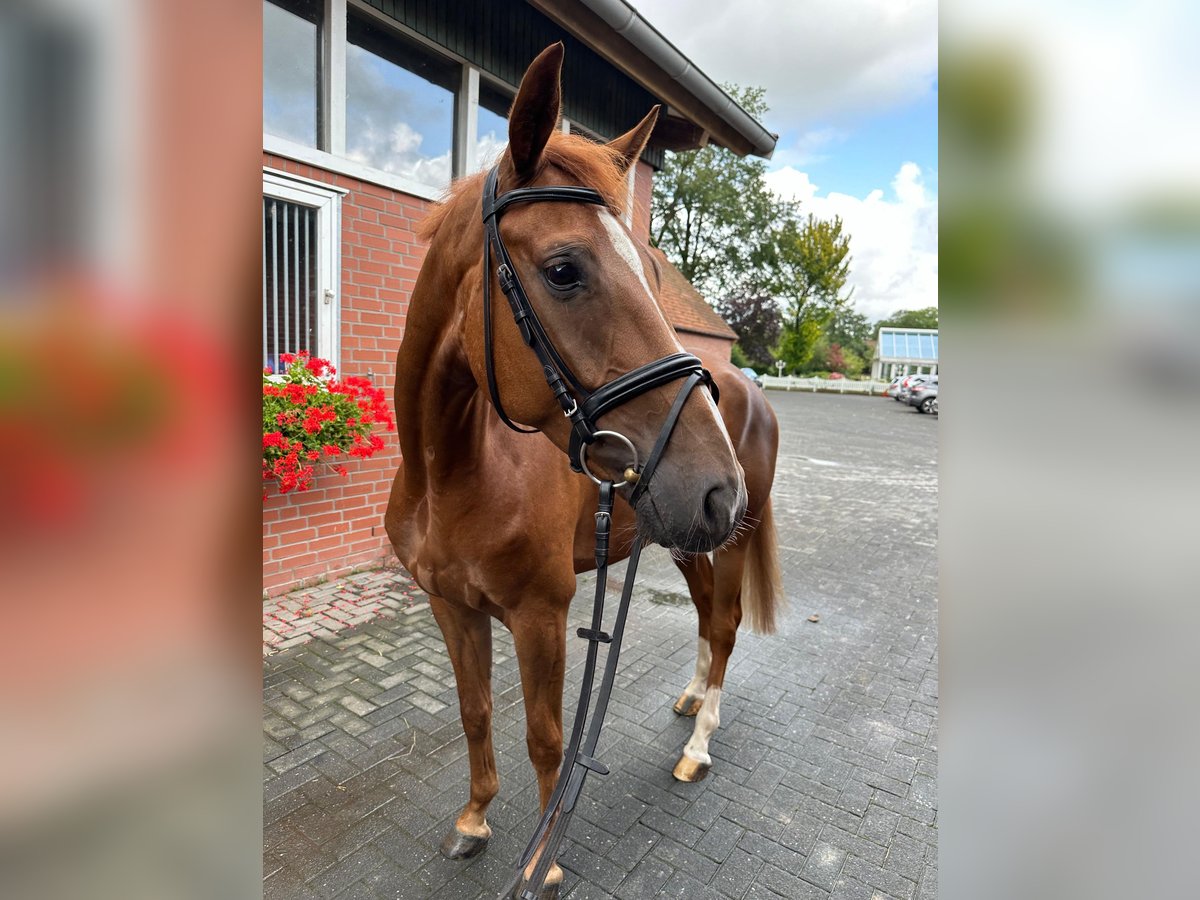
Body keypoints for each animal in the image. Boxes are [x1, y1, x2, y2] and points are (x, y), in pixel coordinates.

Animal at [379, 45, 782, 897]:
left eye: (655, 276)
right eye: (564, 270)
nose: (718, 486)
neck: (452, 476)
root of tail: (749, 387)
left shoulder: (541, 616)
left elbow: (547, 738)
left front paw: (544, 859)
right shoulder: (450, 607)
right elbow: (475, 713)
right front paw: (474, 819)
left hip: (720, 543)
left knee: (727, 625)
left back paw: (699, 744)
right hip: (685, 540)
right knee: (708, 621)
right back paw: (689, 699)